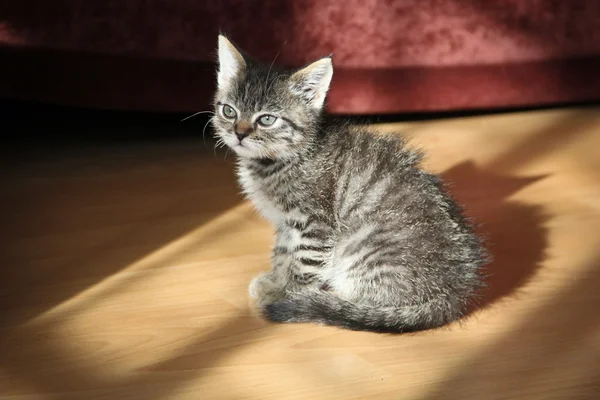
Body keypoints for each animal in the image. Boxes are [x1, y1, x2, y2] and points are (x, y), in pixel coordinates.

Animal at [211, 36, 488, 332]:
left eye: (266, 119)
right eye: (229, 111)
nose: (239, 134)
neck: (276, 161)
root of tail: (454, 293)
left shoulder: (315, 222)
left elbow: (302, 262)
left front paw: (287, 292)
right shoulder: (285, 222)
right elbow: (283, 252)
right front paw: (276, 280)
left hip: (361, 248)